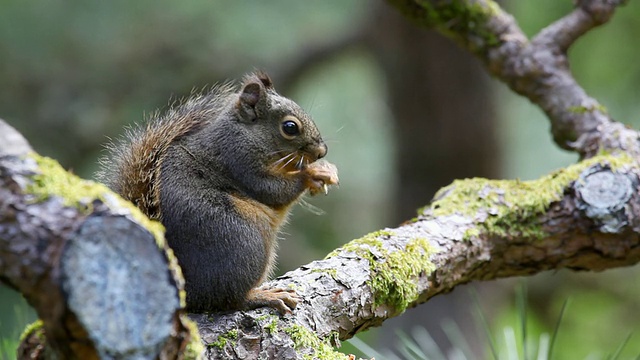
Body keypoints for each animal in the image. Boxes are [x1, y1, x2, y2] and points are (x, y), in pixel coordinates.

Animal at [95, 71, 340, 314]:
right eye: (290, 127)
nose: (322, 151)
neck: (248, 134)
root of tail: (187, 293)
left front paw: (327, 172)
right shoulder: (239, 160)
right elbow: (273, 191)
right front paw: (312, 173)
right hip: (244, 243)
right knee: (229, 299)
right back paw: (263, 296)